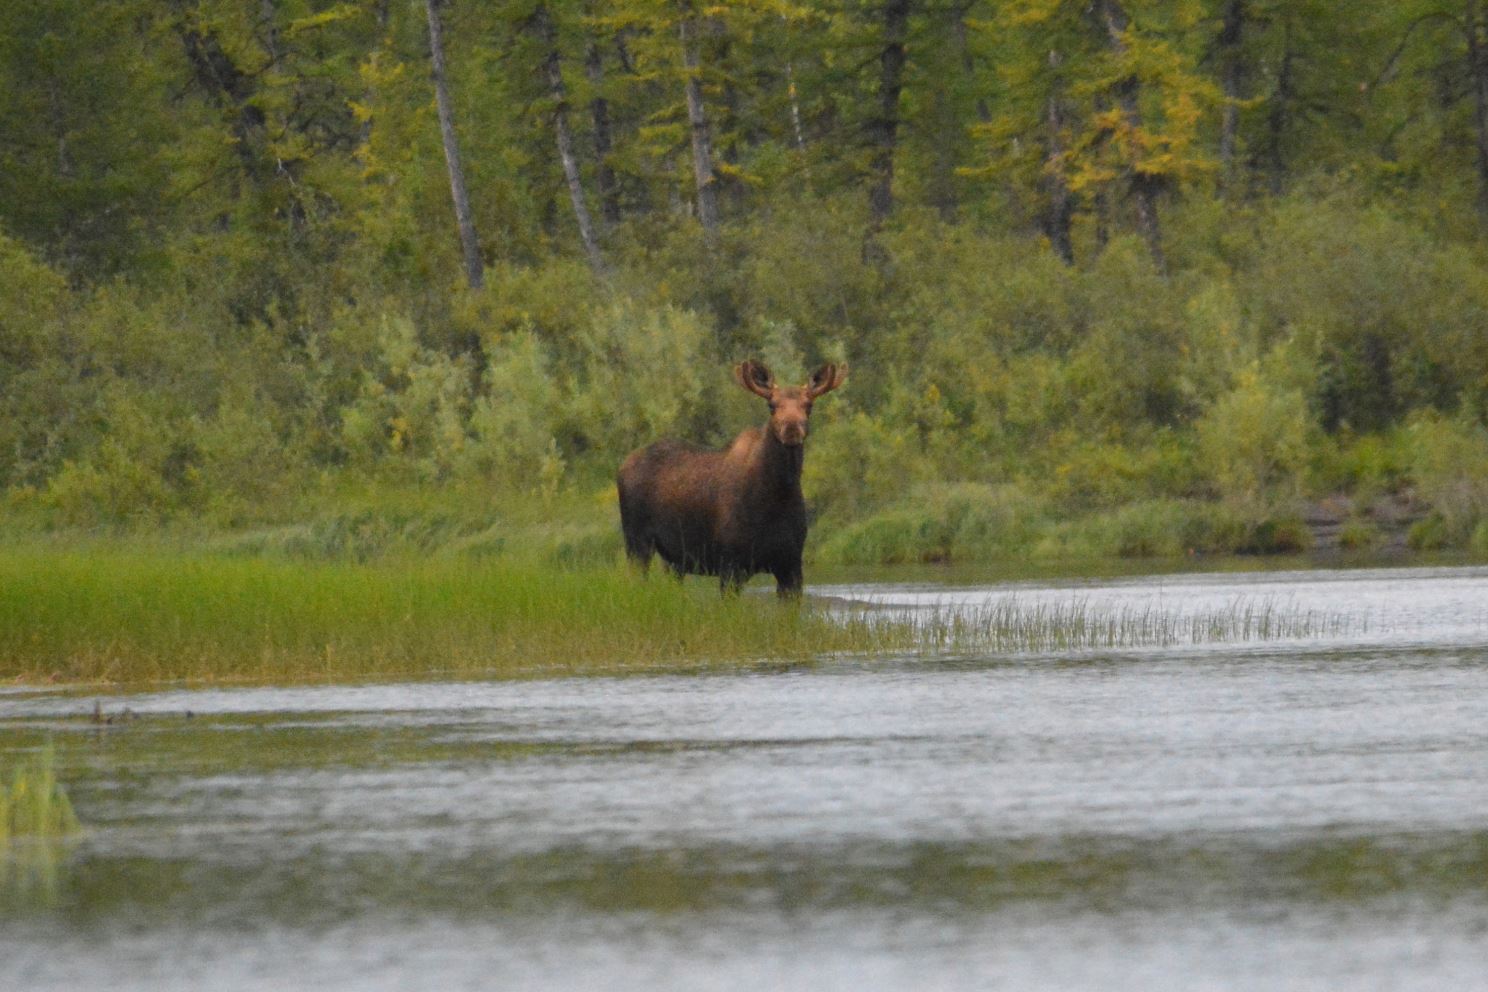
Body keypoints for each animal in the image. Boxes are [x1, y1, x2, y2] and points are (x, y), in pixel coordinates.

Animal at [616, 360, 848, 598]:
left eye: (808, 405)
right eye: (771, 405)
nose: (791, 428)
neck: (777, 497)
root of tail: (623, 464)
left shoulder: (791, 565)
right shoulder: (730, 563)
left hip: (673, 560)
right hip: (636, 542)